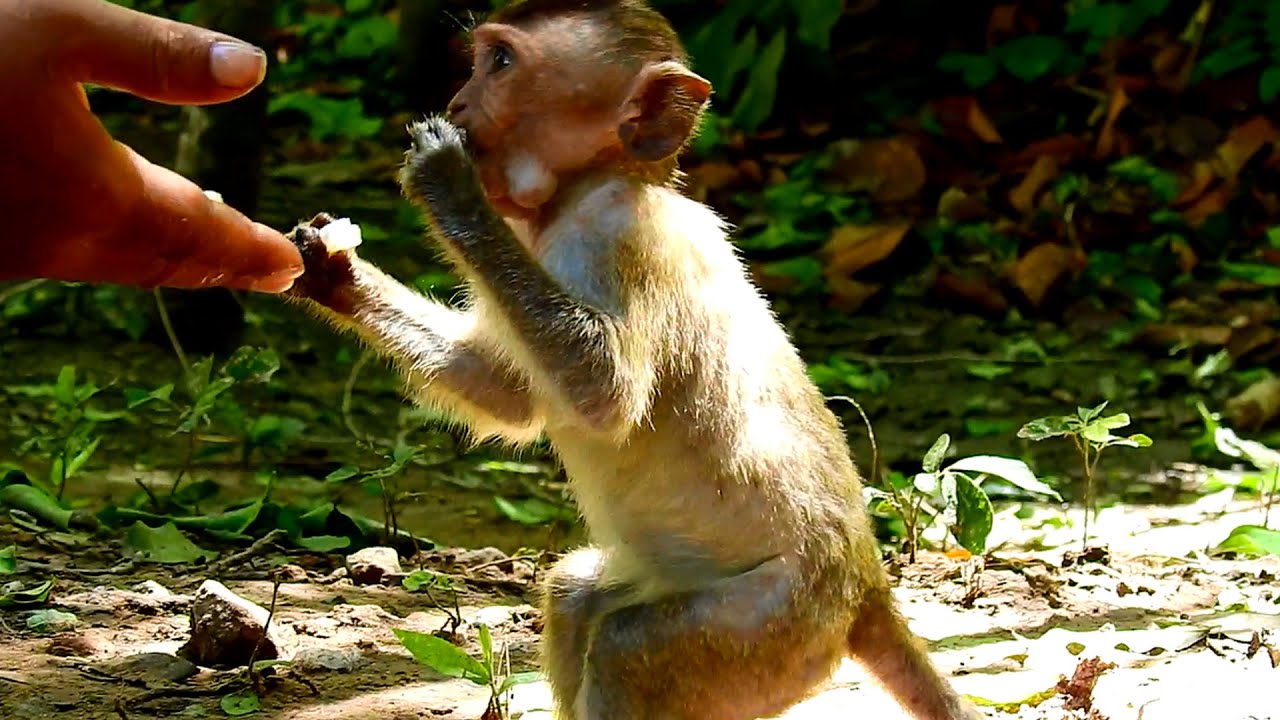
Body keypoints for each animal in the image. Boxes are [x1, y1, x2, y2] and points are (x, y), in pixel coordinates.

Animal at [281, 1, 981, 718]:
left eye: (500, 62)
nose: (458, 100)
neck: (583, 190)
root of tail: (865, 582)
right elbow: (510, 393)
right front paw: (332, 271)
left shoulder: (621, 237)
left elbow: (602, 391)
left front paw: (450, 185)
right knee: (575, 596)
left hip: (777, 625)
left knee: (627, 647)